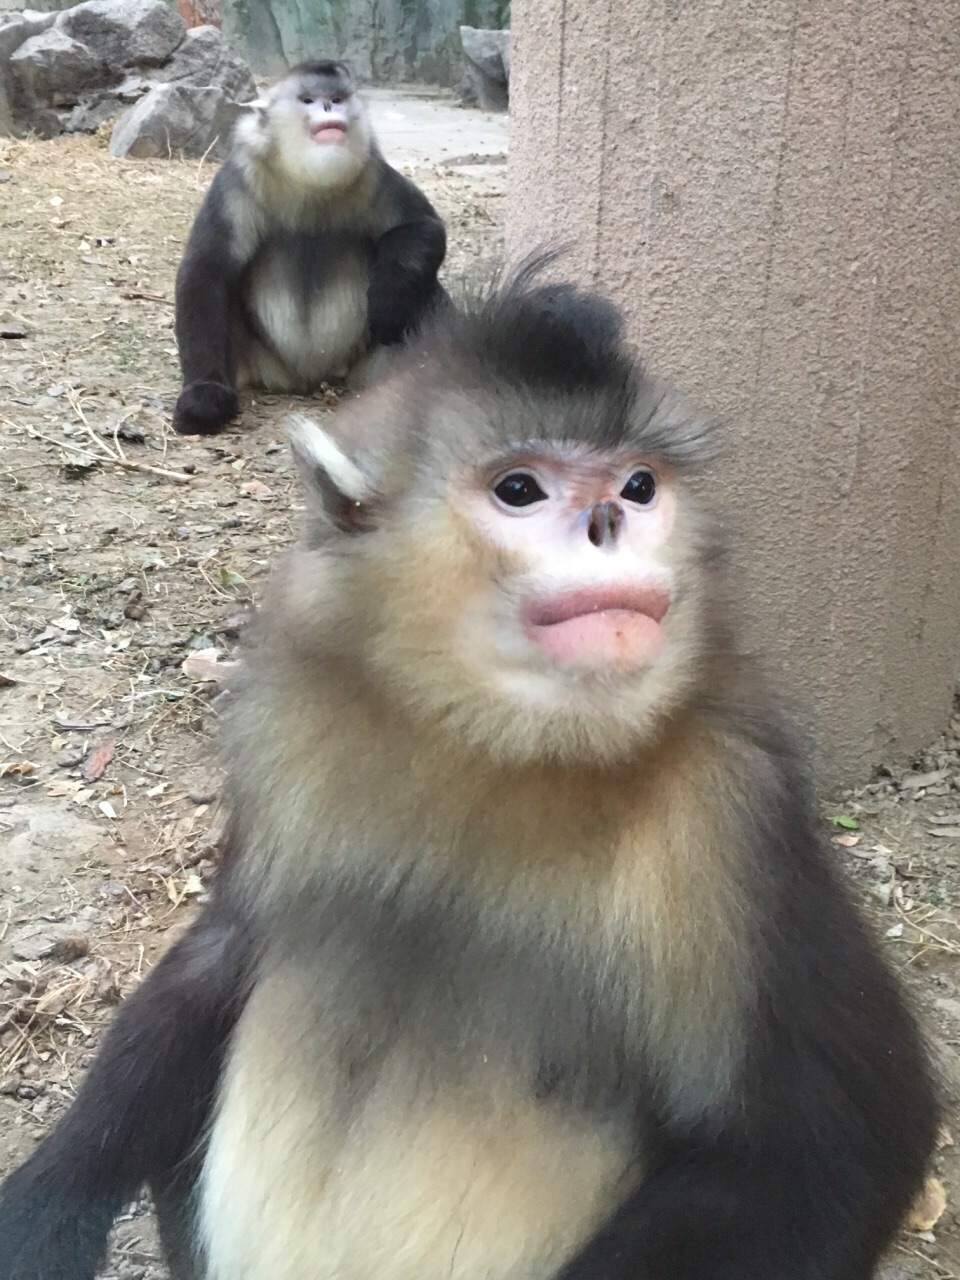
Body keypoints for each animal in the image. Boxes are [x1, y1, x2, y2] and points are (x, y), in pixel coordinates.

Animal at [0, 259, 942, 1280]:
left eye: (639, 485)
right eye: (520, 489)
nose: (610, 521)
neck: (493, 746)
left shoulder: (736, 814)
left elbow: (842, 1147)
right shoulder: (284, 742)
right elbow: (220, 955)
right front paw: (48, 1202)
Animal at [171, 61, 448, 440]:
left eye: (337, 98)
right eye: (308, 100)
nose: (329, 108)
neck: (309, 180)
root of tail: (313, 378)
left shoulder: (373, 173)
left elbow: (423, 228)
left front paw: (388, 297)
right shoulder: (237, 180)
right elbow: (207, 269)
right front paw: (204, 396)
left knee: (424, 287)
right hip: (262, 363)